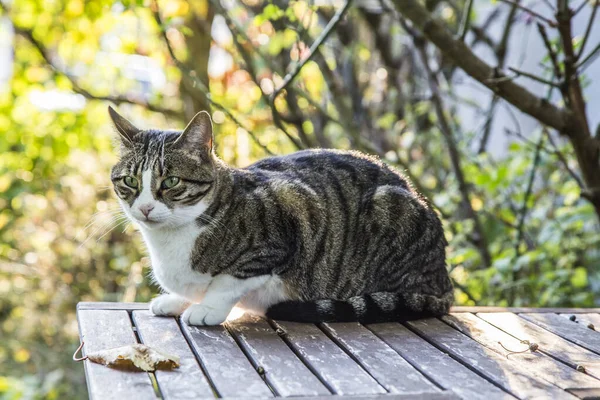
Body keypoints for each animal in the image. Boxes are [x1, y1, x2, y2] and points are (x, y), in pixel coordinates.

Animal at [109, 105, 454, 324]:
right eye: (130, 181)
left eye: (170, 182)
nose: (145, 207)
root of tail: (443, 278)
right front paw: (176, 299)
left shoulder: (285, 223)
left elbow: (227, 282)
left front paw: (207, 307)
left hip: (389, 207)